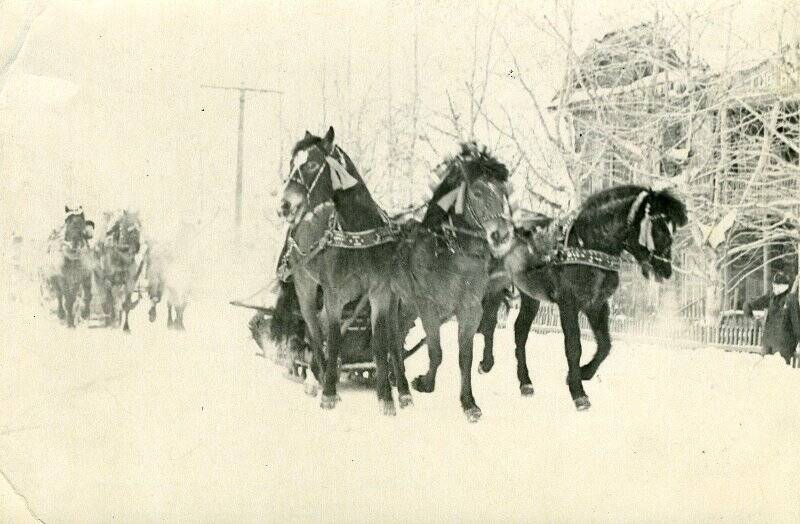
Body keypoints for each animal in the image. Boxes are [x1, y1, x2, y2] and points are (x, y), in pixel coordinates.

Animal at [276, 126, 410, 414]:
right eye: (292, 163)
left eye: (312, 164)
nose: (284, 206)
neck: (358, 231)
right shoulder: (334, 294)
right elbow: (335, 339)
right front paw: (328, 392)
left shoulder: (380, 292)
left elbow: (380, 341)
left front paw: (386, 397)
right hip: (305, 288)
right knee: (315, 331)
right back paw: (318, 378)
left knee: (391, 335)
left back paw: (402, 391)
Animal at [394, 143, 512, 422]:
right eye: (477, 191)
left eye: (502, 192)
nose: (501, 235)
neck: (453, 257)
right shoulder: (428, 307)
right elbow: (435, 351)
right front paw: (425, 384)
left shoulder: (470, 310)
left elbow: (464, 357)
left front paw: (469, 403)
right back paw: (402, 389)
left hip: (409, 308)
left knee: (398, 337)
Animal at [484, 184, 692, 410]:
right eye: (659, 228)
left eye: (672, 229)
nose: (665, 270)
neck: (588, 246)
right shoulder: (568, 304)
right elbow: (574, 346)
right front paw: (578, 393)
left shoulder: (597, 305)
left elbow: (605, 345)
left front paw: (583, 373)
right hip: (492, 286)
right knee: (488, 321)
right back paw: (486, 363)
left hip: (530, 295)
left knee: (520, 331)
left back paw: (525, 383)